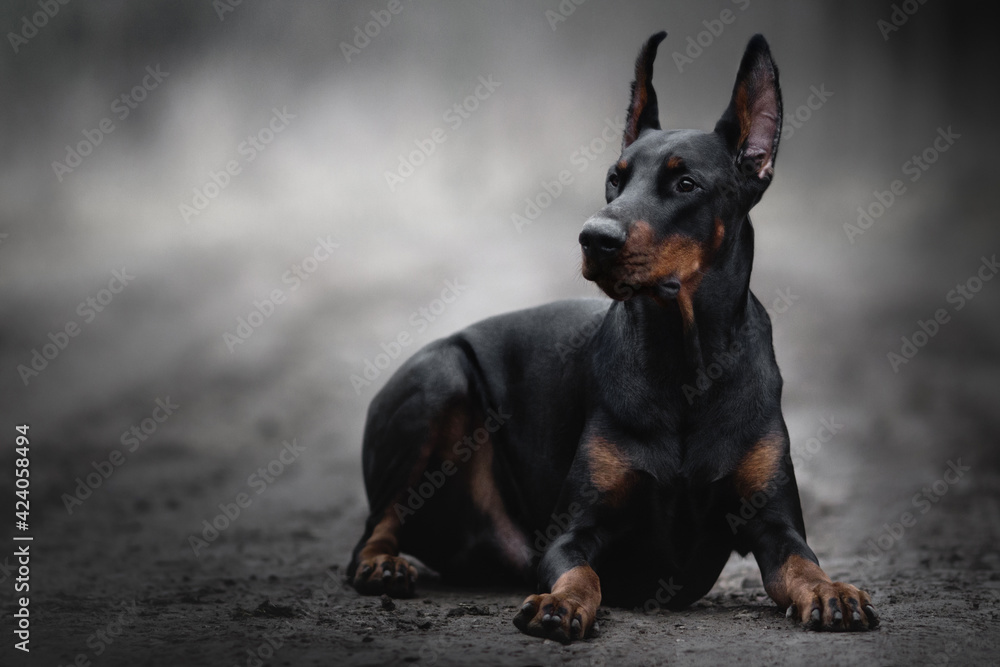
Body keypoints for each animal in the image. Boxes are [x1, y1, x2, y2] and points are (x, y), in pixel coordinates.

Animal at [348, 30, 880, 640]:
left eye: (686, 182)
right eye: (614, 178)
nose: (593, 237)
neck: (685, 361)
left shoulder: (773, 523)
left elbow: (802, 561)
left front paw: (834, 591)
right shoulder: (573, 530)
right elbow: (581, 570)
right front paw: (561, 604)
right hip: (441, 376)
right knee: (376, 525)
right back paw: (382, 565)